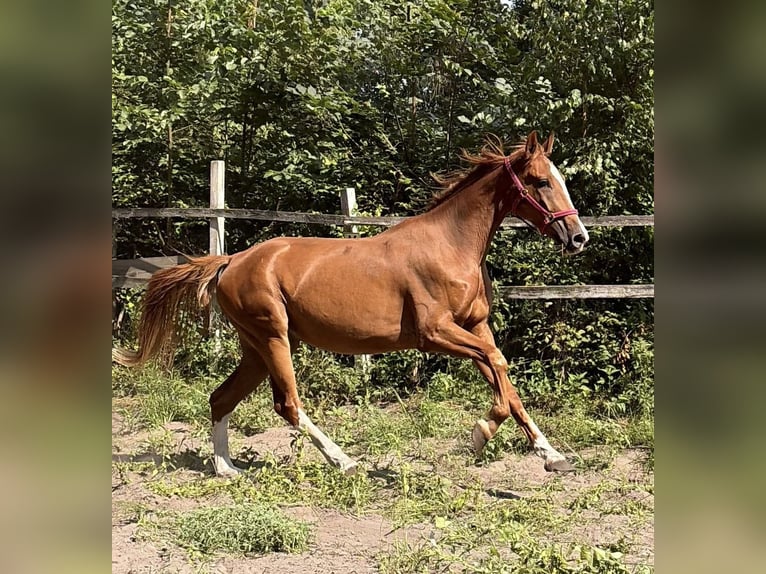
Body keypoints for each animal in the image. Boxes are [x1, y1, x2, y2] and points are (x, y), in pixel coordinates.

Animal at [113, 131, 589, 477]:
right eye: (542, 182)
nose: (579, 237)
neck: (450, 246)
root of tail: (231, 261)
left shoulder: (475, 327)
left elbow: (503, 375)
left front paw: (551, 455)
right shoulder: (435, 333)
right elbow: (499, 367)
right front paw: (481, 433)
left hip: (257, 347)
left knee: (220, 398)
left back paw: (227, 469)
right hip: (273, 338)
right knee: (287, 404)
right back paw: (344, 461)